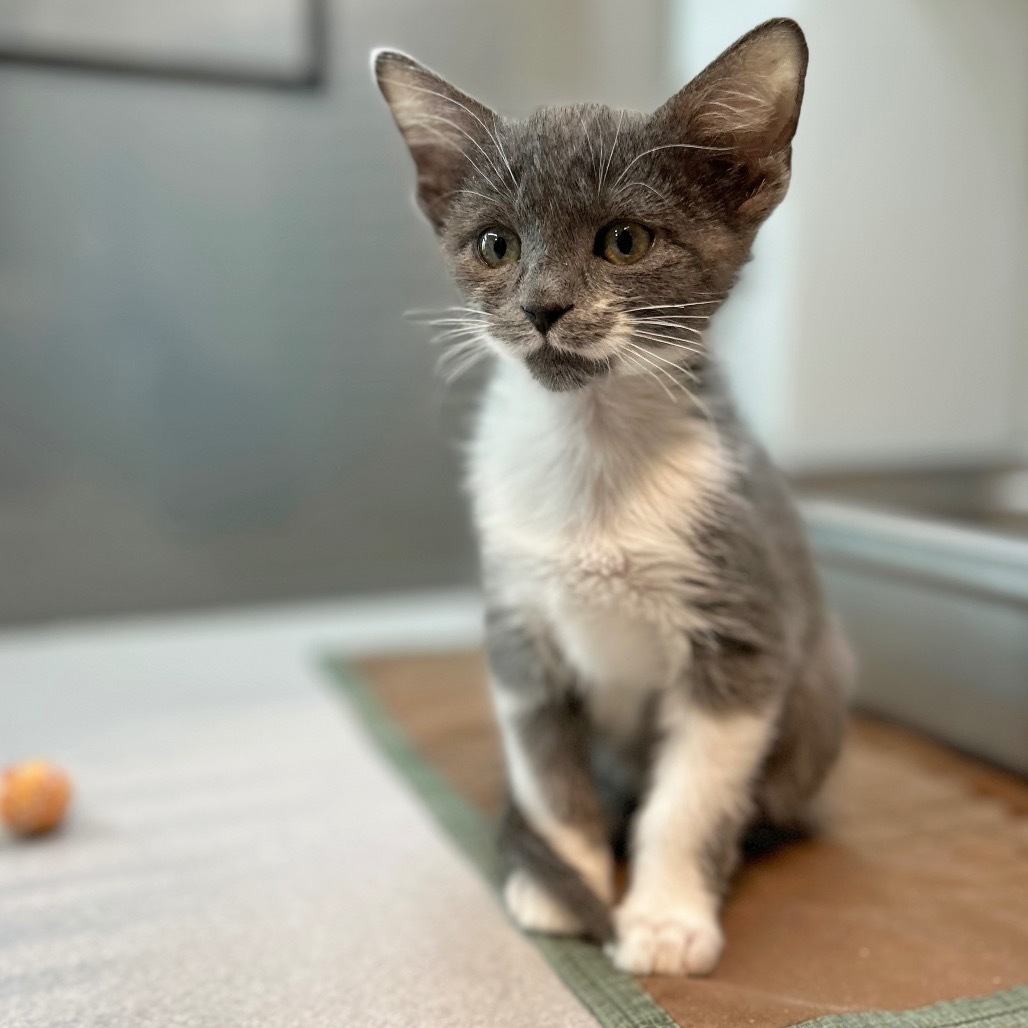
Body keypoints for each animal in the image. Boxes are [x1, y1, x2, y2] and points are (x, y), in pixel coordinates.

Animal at [376, 18, 851, 978]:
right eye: (496, 245)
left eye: (625, 241)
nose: (544, 307)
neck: (592, 456)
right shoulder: (517, 633)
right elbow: (549, 777)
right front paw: (567, 887)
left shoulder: (744, 627)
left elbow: (691, 795)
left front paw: (665, 919)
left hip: (823, 685)